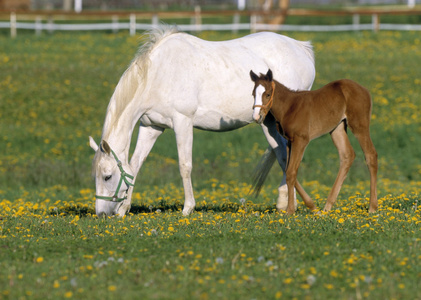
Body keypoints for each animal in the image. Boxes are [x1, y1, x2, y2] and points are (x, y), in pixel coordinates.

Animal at [88, 25, 314, 217]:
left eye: (107, 176)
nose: (101, 214)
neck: (158, 75)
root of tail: (301, 48)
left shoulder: (183, 122)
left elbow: (184, 165)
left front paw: (188, 208)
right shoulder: (151, 126)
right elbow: (134, 166)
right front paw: (123, 209)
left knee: (287, 155)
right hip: (267, 123)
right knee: (282, 154)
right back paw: (283, 203)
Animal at [249, 69, 378, 216]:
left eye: (268, 94)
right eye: (253, 94)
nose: (256, 117)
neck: (289, 107)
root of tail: (365, 90)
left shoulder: (301, 140)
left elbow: (291, 172)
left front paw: (290, 211)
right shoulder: (290, 142)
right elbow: (288, 170)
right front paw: (309, 206)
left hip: (359, 125)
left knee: (370, 155)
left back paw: (372, 207)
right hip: (337, 128)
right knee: (347, 155)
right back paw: (328, 206)